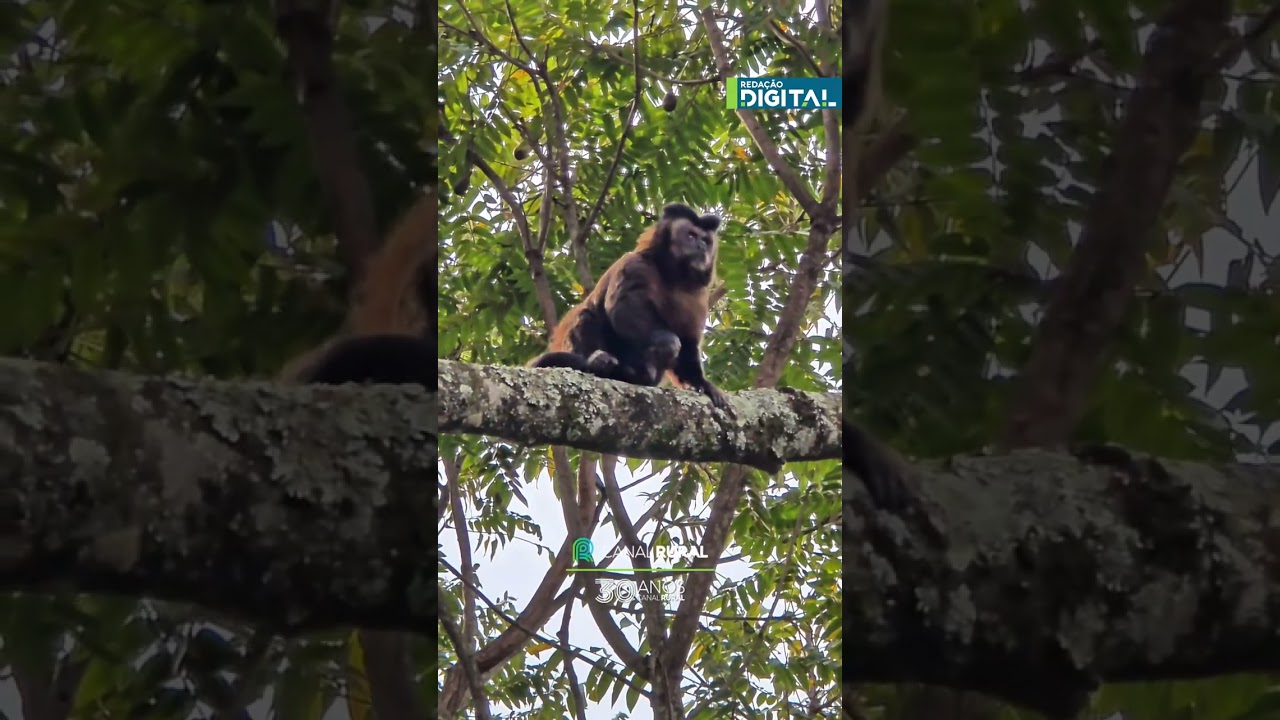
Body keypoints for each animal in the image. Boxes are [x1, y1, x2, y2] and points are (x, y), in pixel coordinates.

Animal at [528, 202, 731, 411]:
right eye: (691, 235)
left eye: (706, 240)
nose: (701, 247)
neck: (672, 275)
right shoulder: (634, 265)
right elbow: (623, 310)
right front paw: (667, 342)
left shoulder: (698, 296)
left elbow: (689, 340)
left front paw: (700, 383)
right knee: (587, 315)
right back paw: (598, 363)